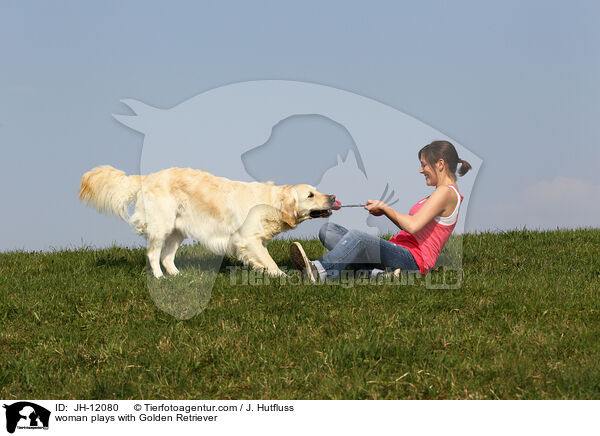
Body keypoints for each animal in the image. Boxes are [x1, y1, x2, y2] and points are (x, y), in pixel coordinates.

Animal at [78, 165, 338, 278]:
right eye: (310, 195)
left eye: (317, 191)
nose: (333, 197)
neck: (270, 202)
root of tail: (147, 177)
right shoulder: (247, 239)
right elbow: (270, 262)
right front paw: (282, 277)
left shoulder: (257, 241)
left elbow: (264, 259)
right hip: (162, 226)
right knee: (153, 255)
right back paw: (160, 278)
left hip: (178, 231)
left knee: (167, 257)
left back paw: (177, 276)